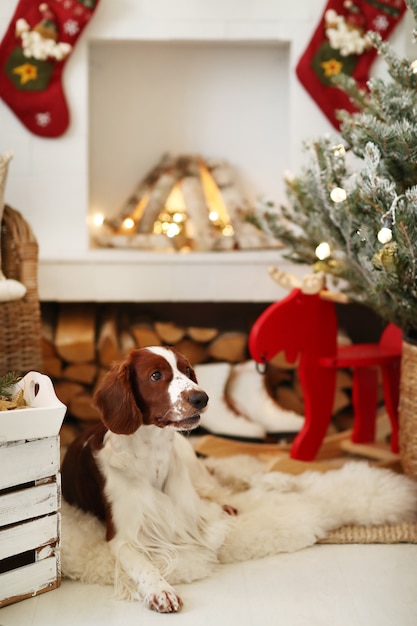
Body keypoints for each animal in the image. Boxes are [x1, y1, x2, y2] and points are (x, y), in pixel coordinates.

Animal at [61, 344, 416, 612]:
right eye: (156, 375)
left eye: (187, 371)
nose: (201, 397)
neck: (151, 454)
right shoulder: (122, 535)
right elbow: (143, 564)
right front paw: (161, 590)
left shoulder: (187, 511)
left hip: (194, 466)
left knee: (224, 485)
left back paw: (271, 486)